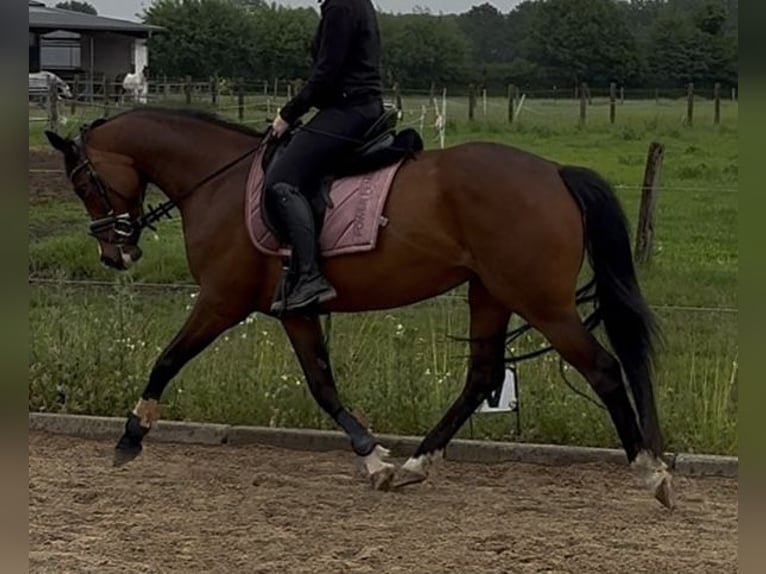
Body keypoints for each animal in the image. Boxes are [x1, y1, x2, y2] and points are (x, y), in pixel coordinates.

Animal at [43, 105, 675, 510]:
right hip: (490, 292)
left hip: (538, 299)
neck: (218, 183)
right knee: (482, 375)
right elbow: (323, 386)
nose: (116, 253)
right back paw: (416, 465)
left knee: (602, 368)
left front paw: (131, 435)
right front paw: (375, 460)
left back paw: (651, 472)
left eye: (82, 181)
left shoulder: (222, 301)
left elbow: (167, 359)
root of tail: (555, 173)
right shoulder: (294, 310)